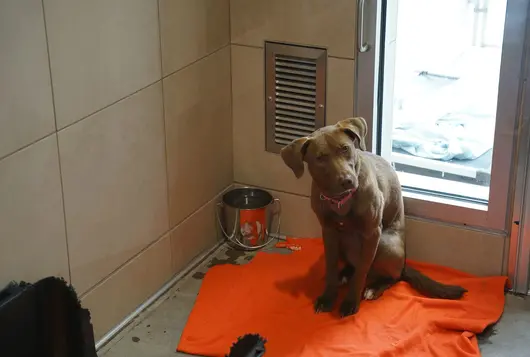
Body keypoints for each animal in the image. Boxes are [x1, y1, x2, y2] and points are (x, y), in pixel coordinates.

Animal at [278, 115, 464, 316]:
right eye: (320, 158)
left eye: (345, 148)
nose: (347, 180)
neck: (341, 201)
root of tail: (404, 263)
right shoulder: (328, 231)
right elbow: (331, 267)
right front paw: (328, 297)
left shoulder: (372, 233)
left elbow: (361, 273)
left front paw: (351, 302)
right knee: (353, 265)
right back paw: (345, 274)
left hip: (384, 244)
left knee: (394, 276)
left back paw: (374, 288)